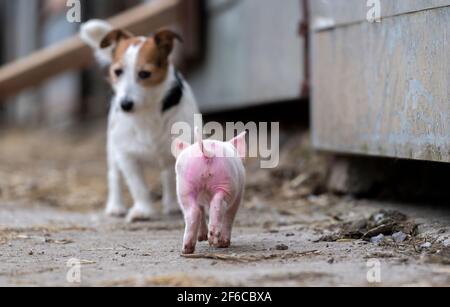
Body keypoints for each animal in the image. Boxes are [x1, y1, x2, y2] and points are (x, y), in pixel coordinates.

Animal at [80, 20, 199, 223]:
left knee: (167, 177)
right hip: (112, 150)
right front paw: (143, 210)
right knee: (114, 177)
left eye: (145, 74)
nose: (125, 104)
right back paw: (116, 206)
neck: (148, 112)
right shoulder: (127, 156)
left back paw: (171, 204)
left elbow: (176, 181)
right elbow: (138, 187)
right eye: (117, 72)